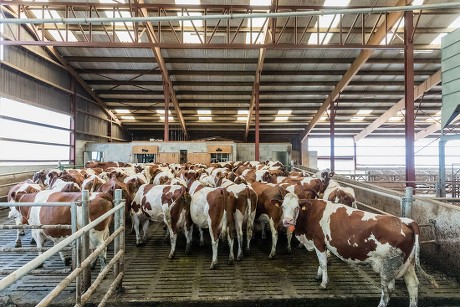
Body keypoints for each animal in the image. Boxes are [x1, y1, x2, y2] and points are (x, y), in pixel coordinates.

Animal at [280, 197, 438, 307]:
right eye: (282, 206)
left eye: (296, 207)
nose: (287, 221)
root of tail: (405, 221)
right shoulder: (322, 244)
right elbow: (322, 260)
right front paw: (318, 276)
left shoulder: (318, 241)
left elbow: (323, 262)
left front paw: (323, 283)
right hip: (408, 265)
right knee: (413, 286)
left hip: (387, 268)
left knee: (386, 292)